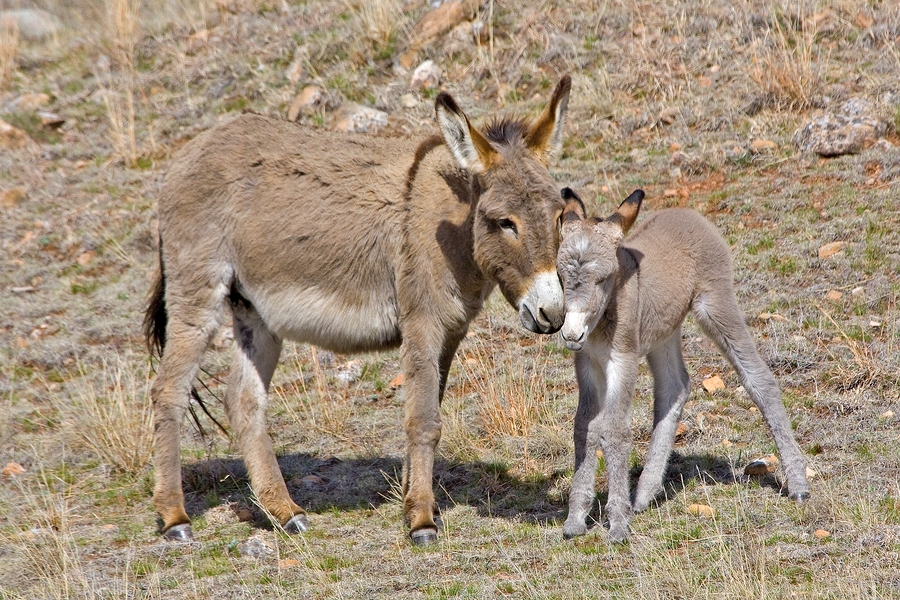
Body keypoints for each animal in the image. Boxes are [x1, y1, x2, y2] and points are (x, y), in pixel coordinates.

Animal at [145, 75, 572, 544]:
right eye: (504, 222)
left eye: (559, 215)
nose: (553, 314)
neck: (451, 224)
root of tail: (189, 151)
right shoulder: (421, 322)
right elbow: (424, 420)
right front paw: (421, 520)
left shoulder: (452, 330)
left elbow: (429, 408)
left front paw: (410, 498)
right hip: (196, 291)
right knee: (168, 391)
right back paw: (174, 517)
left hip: (254, 310)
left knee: (242, 401)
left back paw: (284, 512)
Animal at [556, 190, 808, 540]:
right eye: (559, 276)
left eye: (603, 278)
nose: (571, 334)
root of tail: (686, 213)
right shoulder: (587, 363)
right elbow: (584, 427)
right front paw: (576, 519)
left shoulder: (623, 359)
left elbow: (615, 430)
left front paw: (617, 525)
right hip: (664, 331)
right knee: (675, 387)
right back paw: (644, 494)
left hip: (715, 304)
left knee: (759, 379)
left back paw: (798, 484)